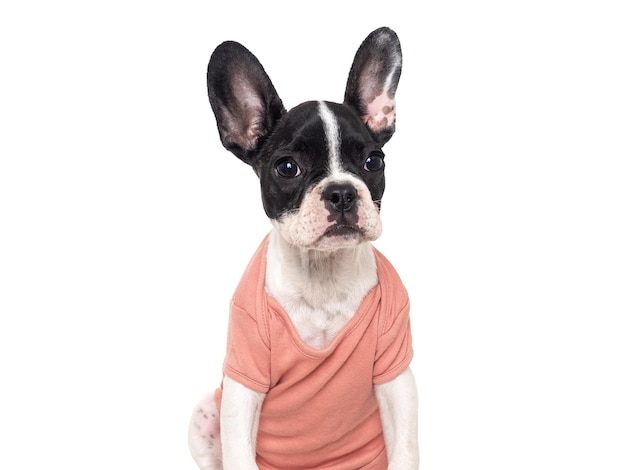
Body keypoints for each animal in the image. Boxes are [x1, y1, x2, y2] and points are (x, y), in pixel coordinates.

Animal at [188, 26, 416, 470]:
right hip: (205, 414)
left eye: (374, 161)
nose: (342, 193)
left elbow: (406, 450)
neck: (321, 274)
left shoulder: (396, 378)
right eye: (287, 167)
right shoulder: (243, 386)